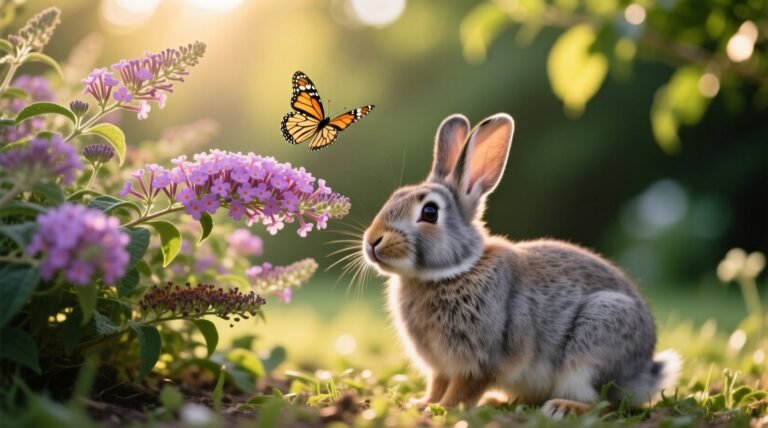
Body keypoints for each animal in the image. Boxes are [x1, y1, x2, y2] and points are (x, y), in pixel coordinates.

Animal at [361, 113, 681, 419]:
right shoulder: (441, 366)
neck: (451, 272)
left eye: (430, 212)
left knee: (608, 403)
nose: (372, 241)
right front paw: (422, 404)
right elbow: (438, 385)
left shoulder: (481, 359)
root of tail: (645, 374)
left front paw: (442, 409)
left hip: (596, 341)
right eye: (394, 197)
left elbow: (463, 389)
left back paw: (563, 408)